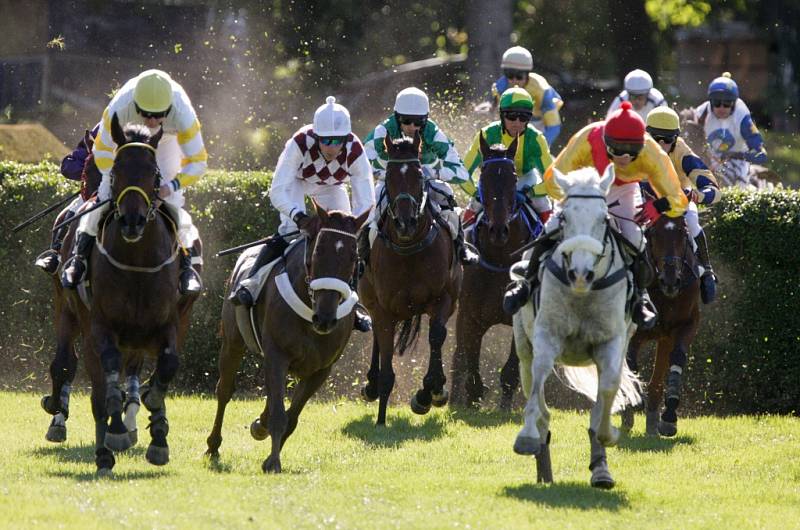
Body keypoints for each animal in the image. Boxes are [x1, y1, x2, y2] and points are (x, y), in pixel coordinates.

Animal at [44, 114, 199, 470]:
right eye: (114, 171)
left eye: (154, 173)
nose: (132, 220)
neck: (137, 262)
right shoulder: (99, 325)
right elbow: (101, 382)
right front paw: (113, 433)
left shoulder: (170, 322)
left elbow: (166, 366)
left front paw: (156, 432)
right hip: (68, 309)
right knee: (68, 363)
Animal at [205, 203, 370, 470]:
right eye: (317, 251)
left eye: (353, 257)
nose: (325, 319)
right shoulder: (277, 354)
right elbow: (279, 415)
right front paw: (273, 461)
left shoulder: (321, 369)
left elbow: (291, 417)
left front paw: (267, 448)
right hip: (232, 342)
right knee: (224, 390)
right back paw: (213, 445)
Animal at [358, 133, 462, 424]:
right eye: (389, 176)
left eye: (417, 174)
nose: (405, 223)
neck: (409, 250)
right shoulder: (383, 308)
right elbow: (385, 355)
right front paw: (381, 418)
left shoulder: (443, 298)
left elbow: (437, 335)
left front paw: (431, 392)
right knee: (378, 337)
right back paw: (371, 386)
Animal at [450, 134, 544, 406]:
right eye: (483, 174)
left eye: (513, 178)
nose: (499, 230)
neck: (501, 258)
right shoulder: (470, 316)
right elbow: (470, 363)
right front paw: (471, 399)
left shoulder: (520, 318)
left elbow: (511, 371)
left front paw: (503, 407)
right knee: (458, 358)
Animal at [620, 212, 700, 436]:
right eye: (653, 233)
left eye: (682, 232)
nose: (670, 280)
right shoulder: (635, 333)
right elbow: (630, 363)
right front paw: (632, 404)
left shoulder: (685, 325)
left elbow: (676, 358)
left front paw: (668, 417)